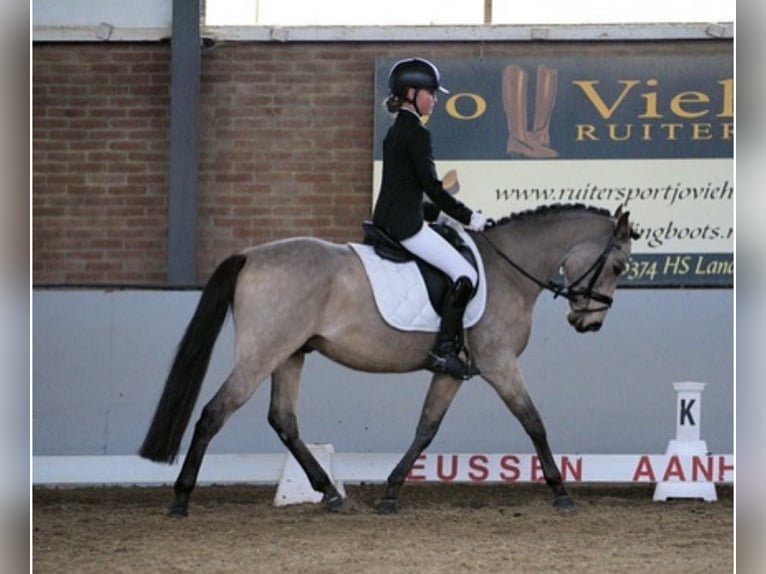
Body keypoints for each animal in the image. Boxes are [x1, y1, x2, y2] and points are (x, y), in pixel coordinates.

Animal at [138, 205, 636, 520]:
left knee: (283, 420)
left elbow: (426, 428)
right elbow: (534, 422)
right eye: (617, 267)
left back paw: (329, 493)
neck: (508, 271)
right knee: (213, 413)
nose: (588, 323)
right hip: (262, 354)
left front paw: (392, 492)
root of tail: (250, 255)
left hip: (290, 354)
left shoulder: (454, 372)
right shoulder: (499, 365)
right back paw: (181, 499)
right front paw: (562, 492)